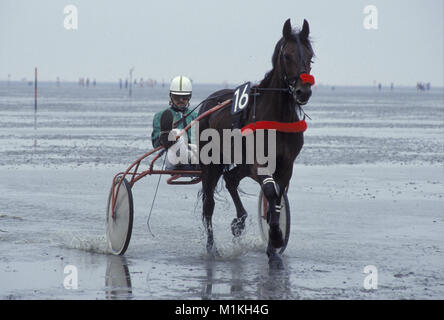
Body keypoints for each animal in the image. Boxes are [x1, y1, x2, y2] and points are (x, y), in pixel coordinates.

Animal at [196, 18, 314, 268]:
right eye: (287, 55)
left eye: (310, 56)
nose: (303, 91)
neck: (277, 117)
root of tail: (210, 101)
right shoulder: (259, 162)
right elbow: (269, 191)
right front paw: (276, 238)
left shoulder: (286, 165)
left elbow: (277, 198)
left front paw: (273, 245)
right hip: (211, 164)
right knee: (209, 204)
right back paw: (212, 248)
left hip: (240, 162)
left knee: (231, 180)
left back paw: (239, 222)